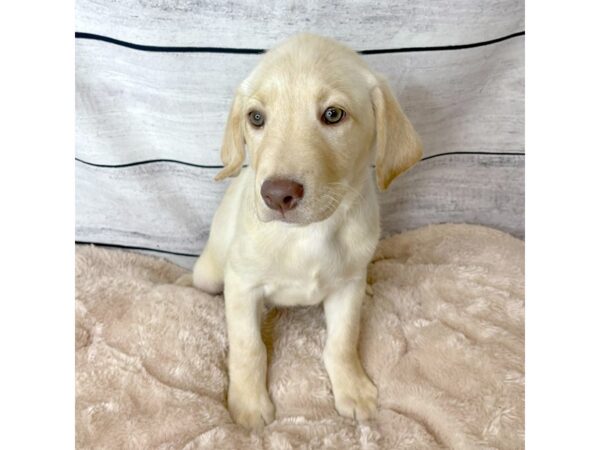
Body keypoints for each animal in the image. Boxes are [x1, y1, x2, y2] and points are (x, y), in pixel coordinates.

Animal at [183, 34, 422, 428]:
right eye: (256, 118)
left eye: (333, 114)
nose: (277, 195)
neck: (307, 235)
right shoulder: (242, 285)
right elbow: (248, 347)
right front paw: (249, 402)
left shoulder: (347, 286)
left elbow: (342, 342)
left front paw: (352, 388)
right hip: (209, 274)